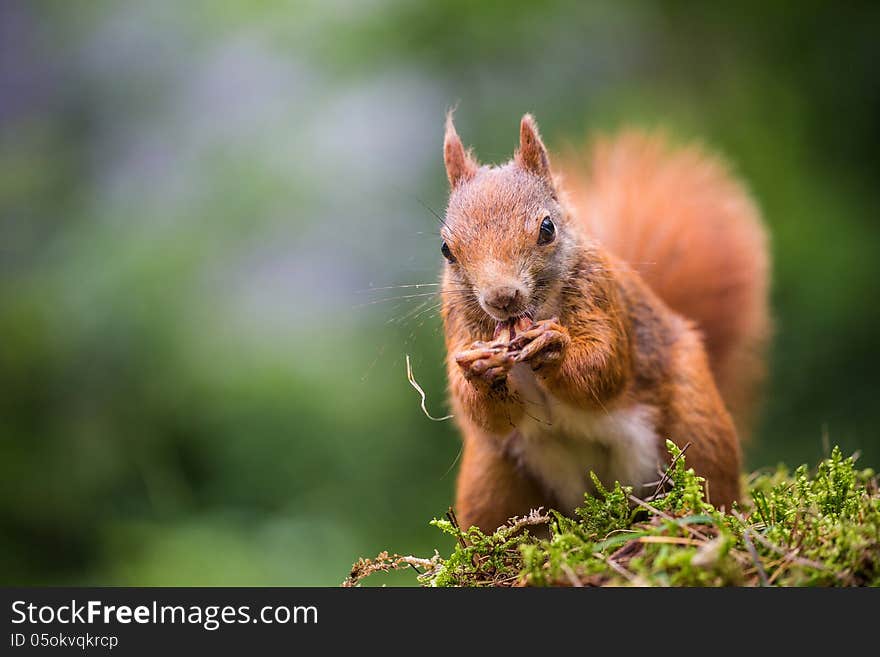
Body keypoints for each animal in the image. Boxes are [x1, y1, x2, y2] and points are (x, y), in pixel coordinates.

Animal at [436, 114, 768, 532]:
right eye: (446, 249)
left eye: (547, 228)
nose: (501, 297)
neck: (532, 314)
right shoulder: (458, 326)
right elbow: (483, 412)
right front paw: (479, 370)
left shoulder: (602, 296)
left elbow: (604, 367)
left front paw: (553, 347)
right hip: (490, 478)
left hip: (697, 424)